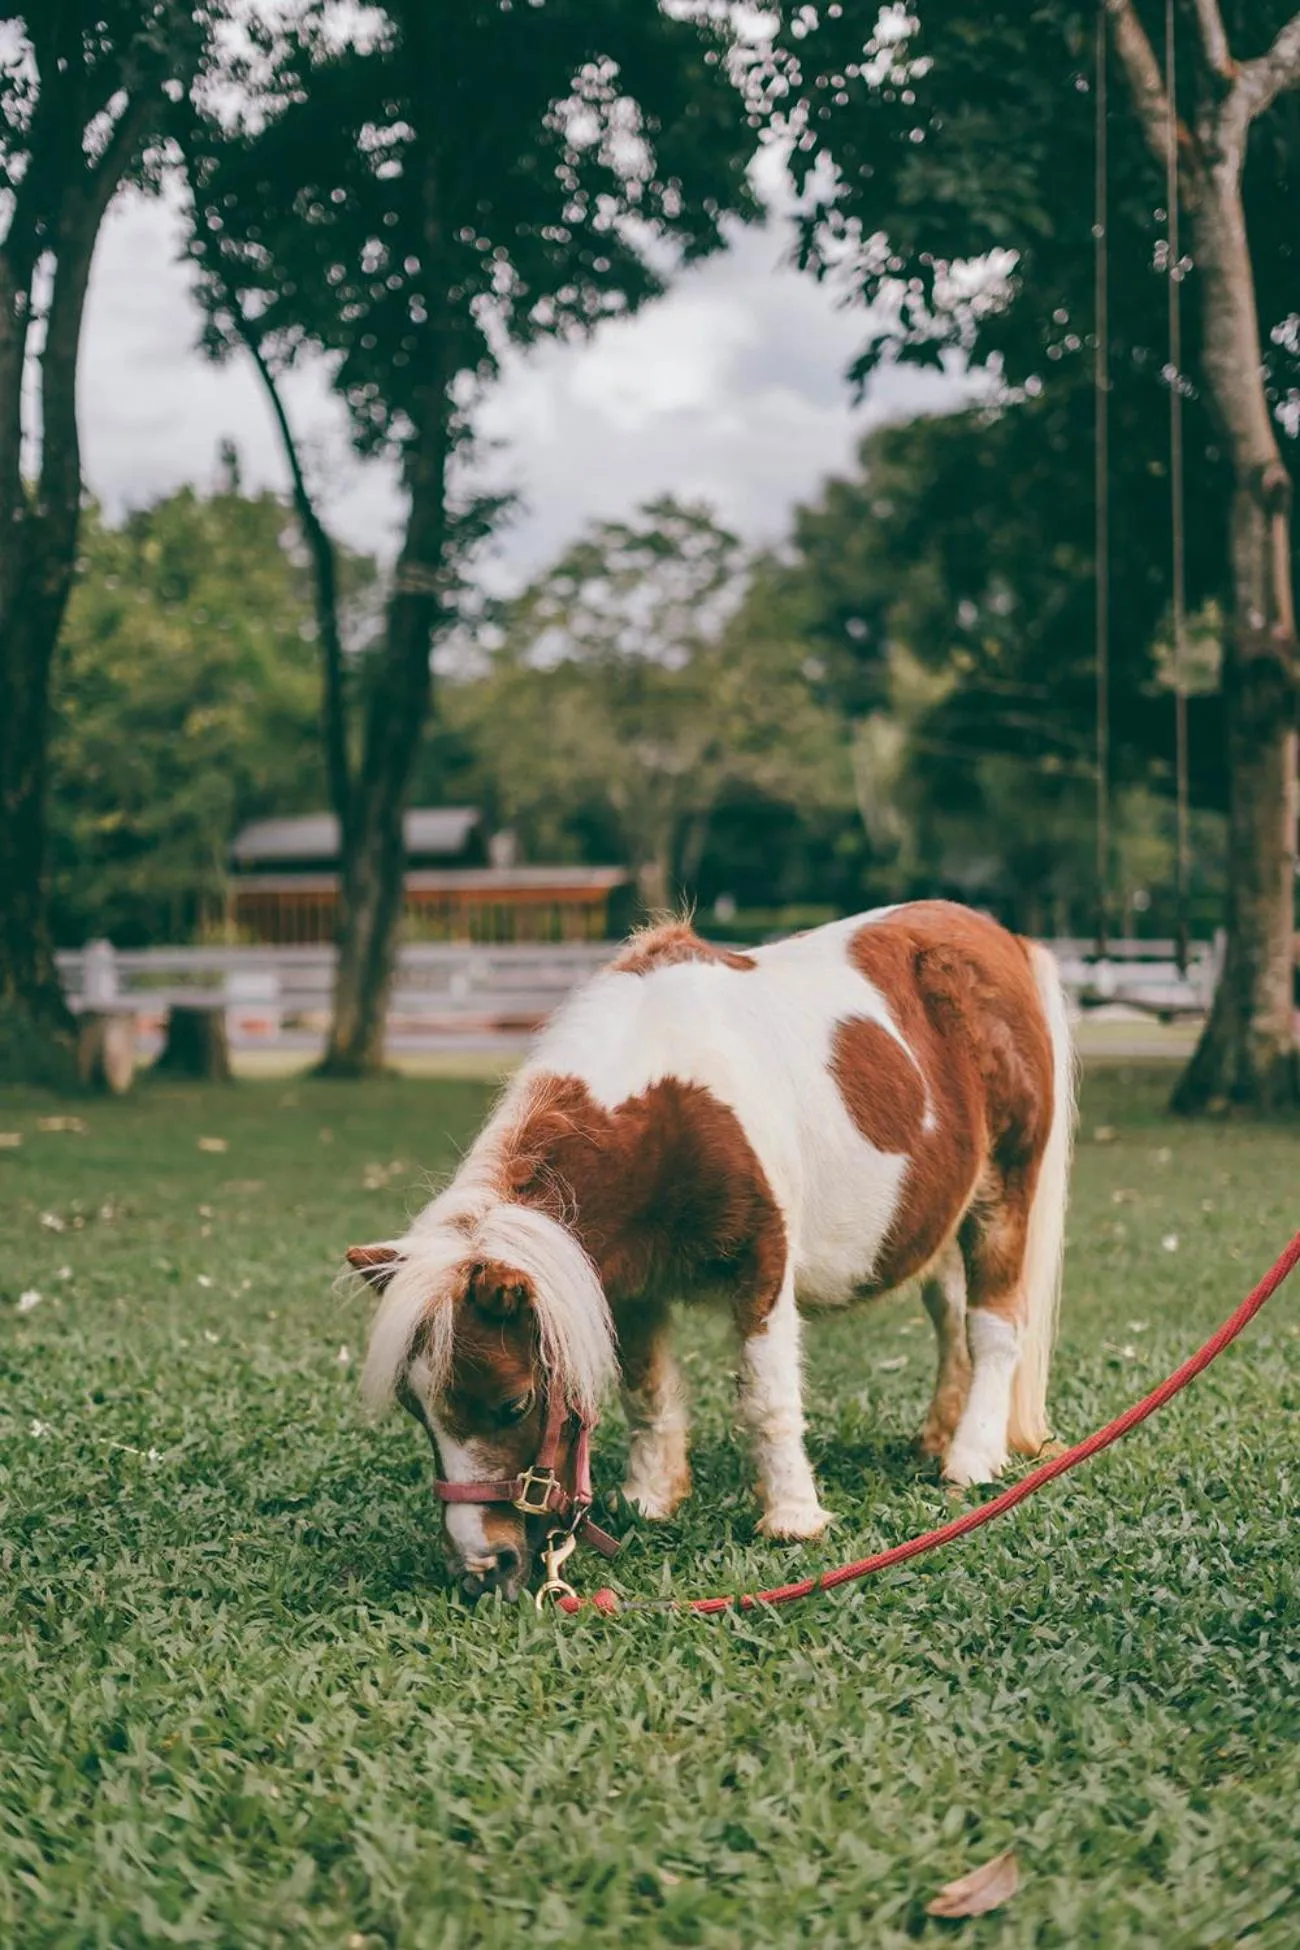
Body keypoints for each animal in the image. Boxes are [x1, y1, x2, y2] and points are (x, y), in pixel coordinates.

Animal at [348, 900, 1075, 1601]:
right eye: (418, 1411)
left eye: (514, 1404)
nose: (482, 1568)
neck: (671, 1104)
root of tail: (1004, 940)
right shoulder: (628, 1286)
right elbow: (645, 1390)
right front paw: (650, 1498)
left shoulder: (764, 1265)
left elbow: (764, 1395)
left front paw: (792, 1518)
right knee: (952, 1321)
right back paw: (935, 1441)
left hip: (1004, 1195)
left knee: (992, 1329)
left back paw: (970, 1459)